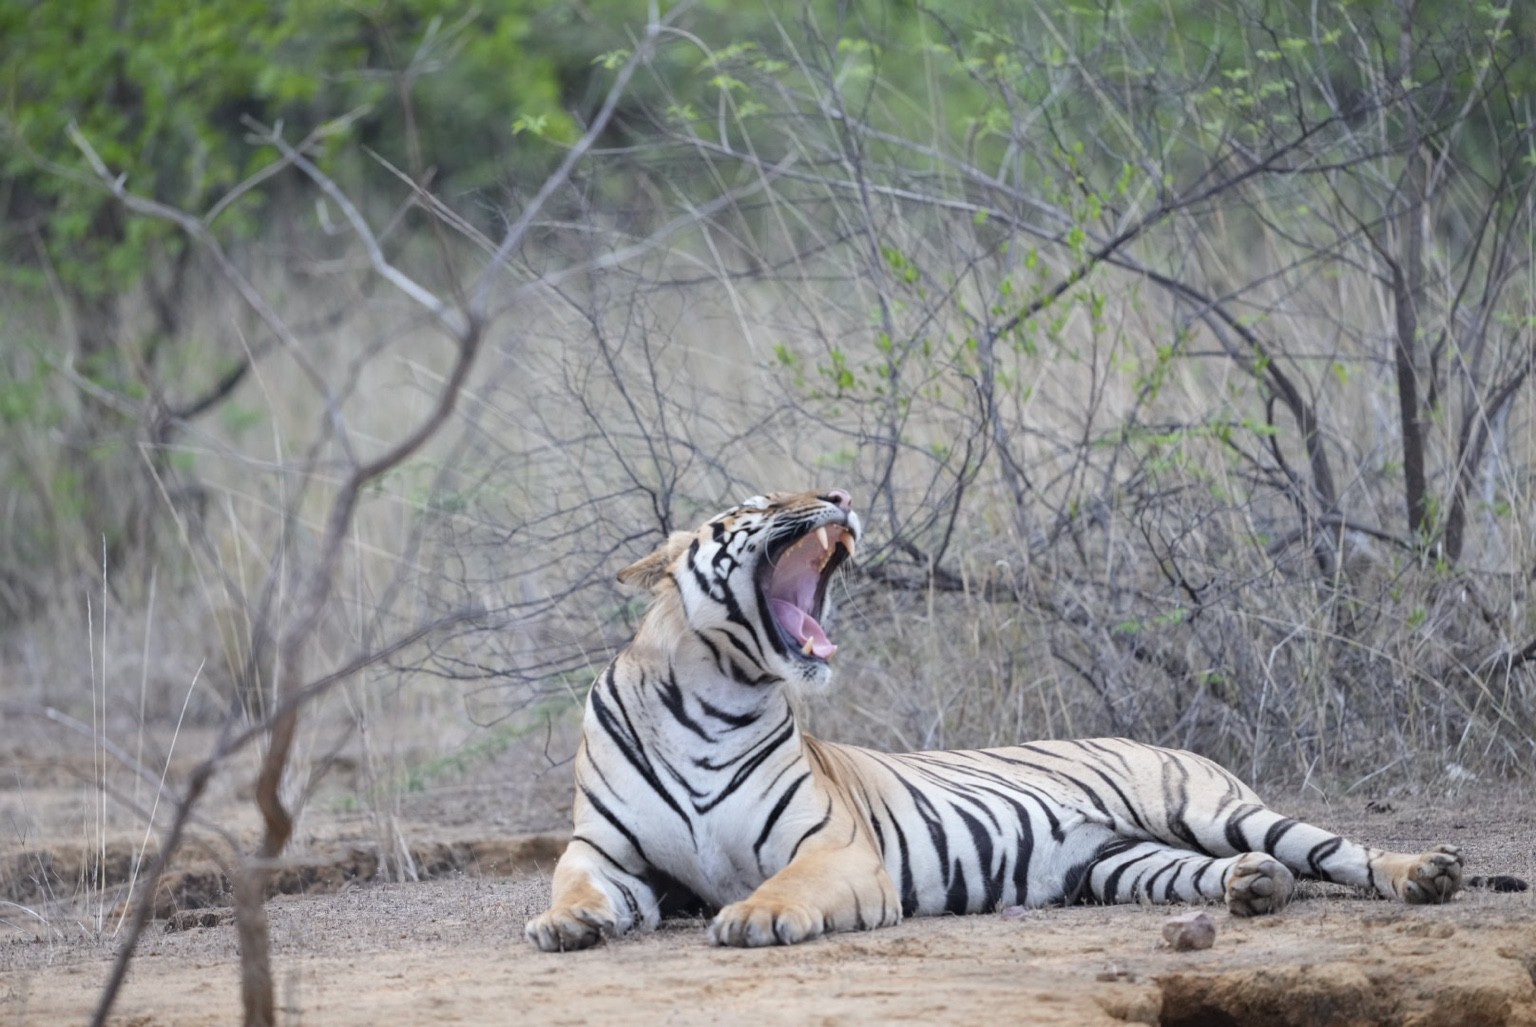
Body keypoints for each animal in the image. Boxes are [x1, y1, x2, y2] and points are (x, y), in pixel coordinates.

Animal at [525, 488, 1520, 951]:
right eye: (760, 506)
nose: (839, 496)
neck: (712, 697)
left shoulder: (835, 849)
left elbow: (783, 885)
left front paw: (753, 917)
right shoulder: (610, 854)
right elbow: (574, 886)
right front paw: (563, 926)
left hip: (1213, 807)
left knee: (1337, 849)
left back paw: (1424, 873)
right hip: (1123, 862)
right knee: (1238, 872)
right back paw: (1254, 889)